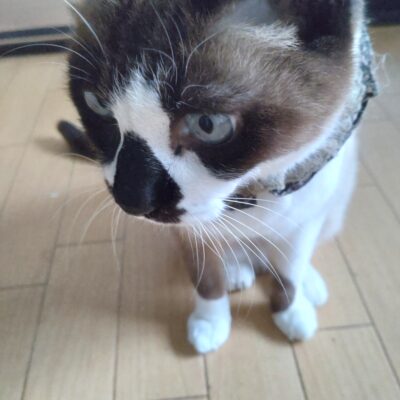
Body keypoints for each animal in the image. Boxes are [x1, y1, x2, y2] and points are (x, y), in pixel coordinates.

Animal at [61, 0, 377, 353]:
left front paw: (290, 313)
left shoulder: (301, 223)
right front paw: (210, 324)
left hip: (332, 213)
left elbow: (289, 277)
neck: (246, 192)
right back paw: (238, 273)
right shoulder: (191, 235)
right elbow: (208, 283)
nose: (131, 198)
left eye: (209, 125)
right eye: (97, 105)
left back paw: (307, 284)